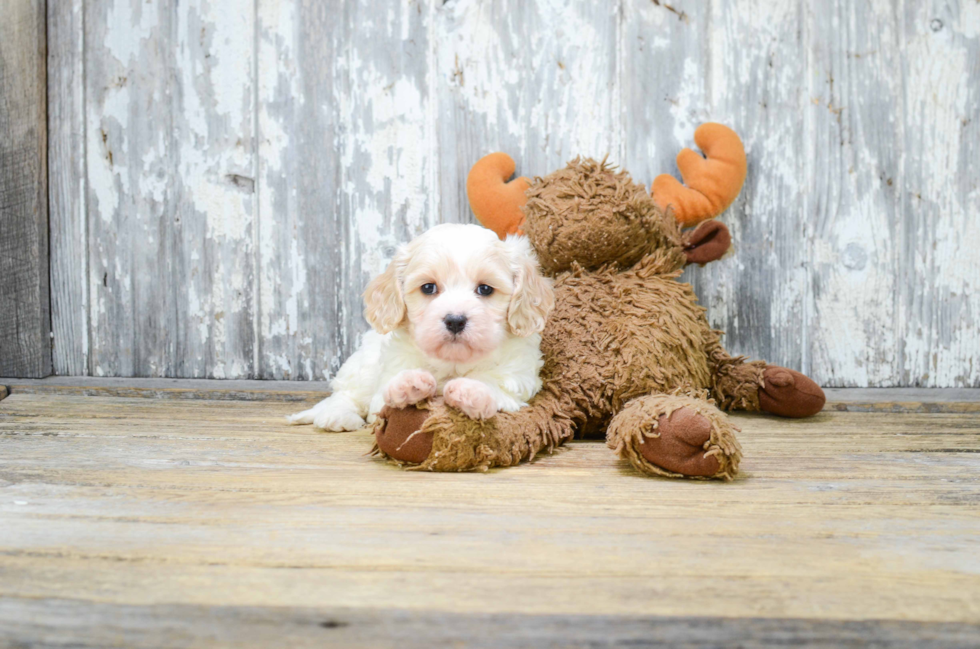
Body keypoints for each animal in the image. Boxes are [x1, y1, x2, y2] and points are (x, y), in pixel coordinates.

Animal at [288, 223, 556, 430]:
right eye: (428, 287)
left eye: (485, 289)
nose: (455, 320)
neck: (452, 363)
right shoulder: (387, 376)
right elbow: (384, 396)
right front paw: (409, 384)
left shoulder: (517, 375)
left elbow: (494, 382)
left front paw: (472, 391)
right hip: (362, 366)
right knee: (345, 394)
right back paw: (338, 417)